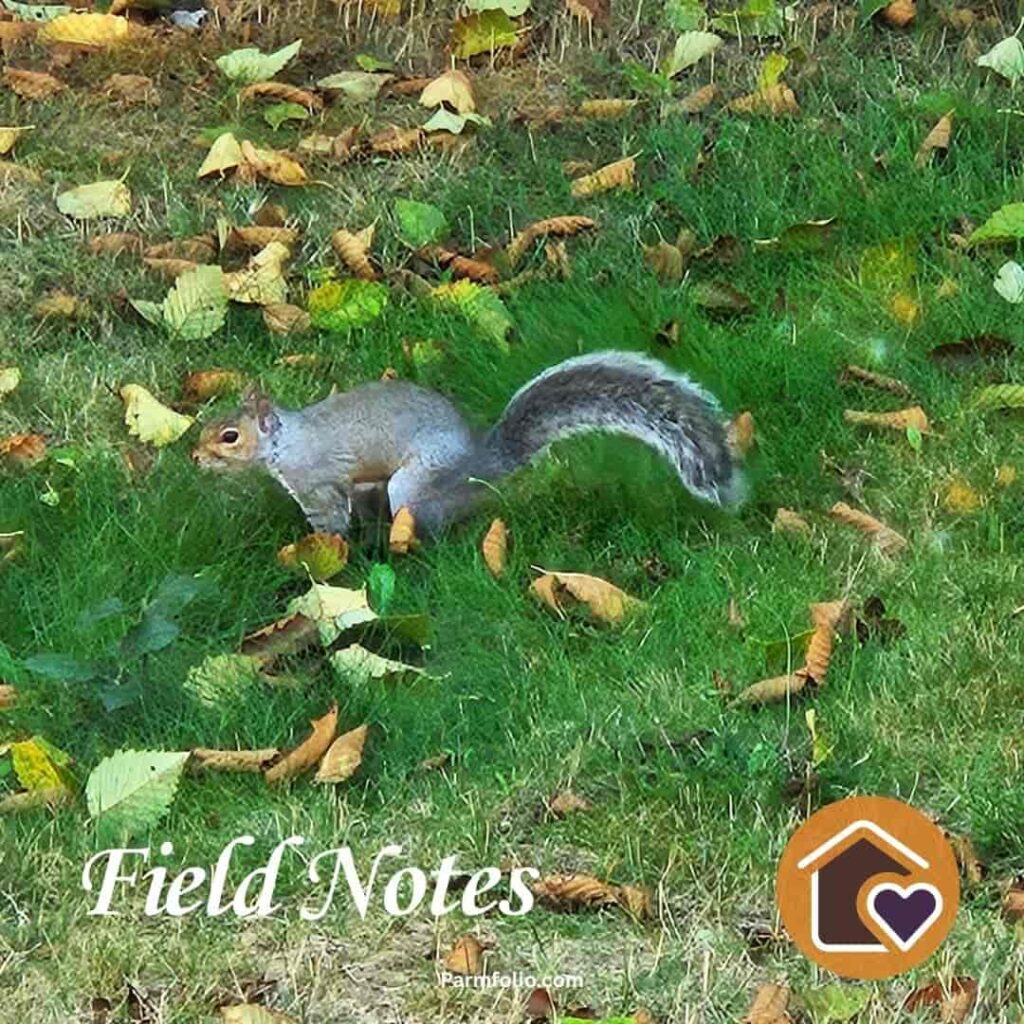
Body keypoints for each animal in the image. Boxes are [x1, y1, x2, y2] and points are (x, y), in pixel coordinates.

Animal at [191, 351, 742, 537]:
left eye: (229, 436)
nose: (195, 456)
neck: (288, 441)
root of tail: (478, 463)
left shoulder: (318, 482)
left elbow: (328, 523)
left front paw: (321, 555)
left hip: (413, 484)